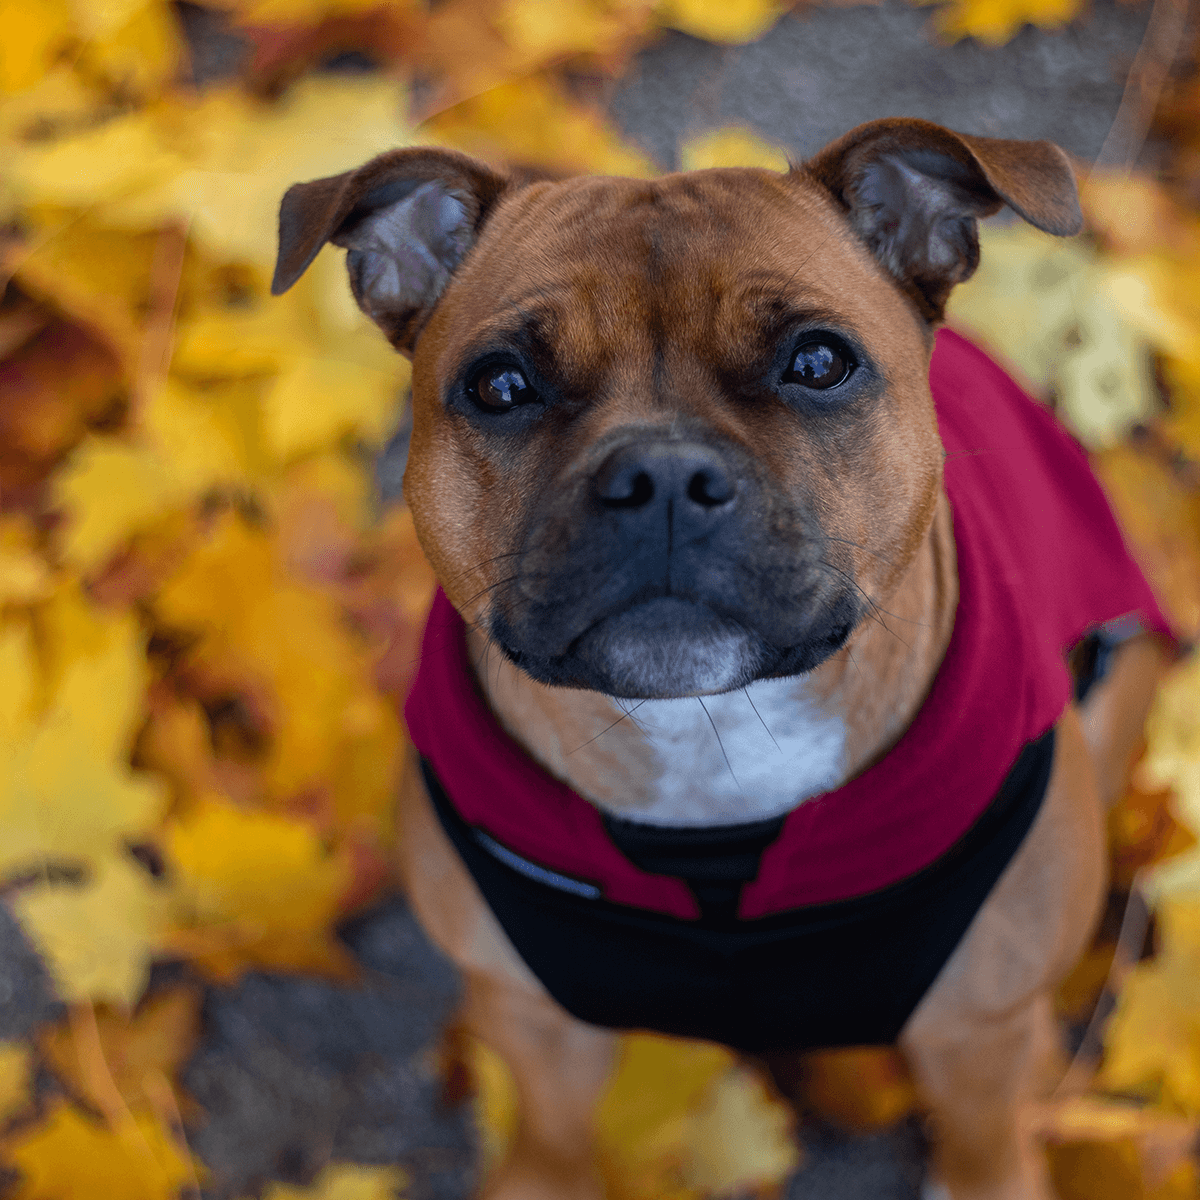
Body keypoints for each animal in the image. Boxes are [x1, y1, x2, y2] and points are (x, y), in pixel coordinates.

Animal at [272, 124, 1171, 1200]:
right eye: (500, 385)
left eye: (818, 361)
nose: (660, 475)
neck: (715, 738)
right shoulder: (537, 1027)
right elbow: (553, 1140)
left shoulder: (977, 1032)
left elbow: (986, 1147)